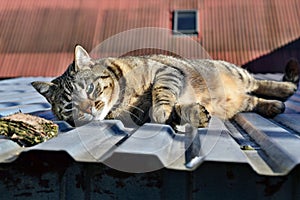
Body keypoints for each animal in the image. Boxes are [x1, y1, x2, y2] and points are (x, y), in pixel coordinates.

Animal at [31, 45, 296, 128]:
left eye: (90, 89)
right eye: (69, 106)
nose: (88, 109)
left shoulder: (166, 73)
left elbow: (162, 94)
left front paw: (162, 109)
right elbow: (175, 112)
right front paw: (194, 114)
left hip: (237, 73)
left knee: (258, 82)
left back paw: (285, 90)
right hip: (239, 100)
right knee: (252, 101)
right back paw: (273, 106)